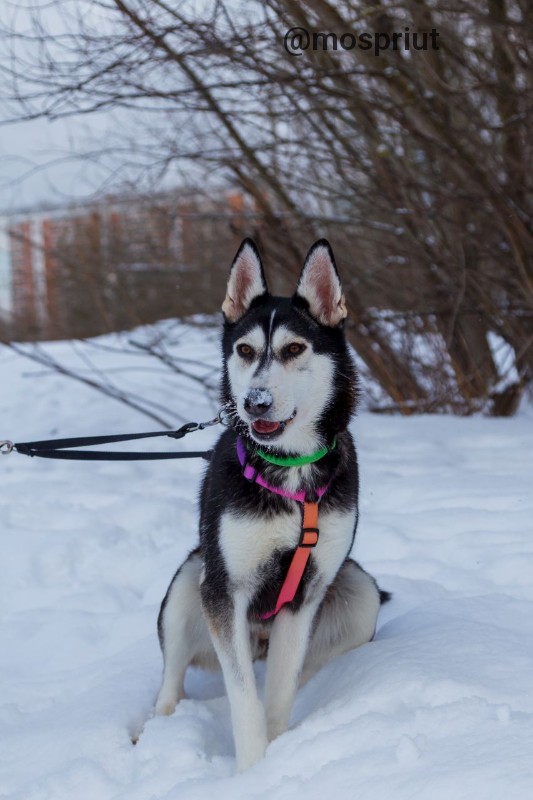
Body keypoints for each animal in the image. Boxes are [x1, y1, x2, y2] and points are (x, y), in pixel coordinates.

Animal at [154, 241, 386, 772]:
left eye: (294, 349)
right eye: (244, 351)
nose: (254, 402)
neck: (290, 468)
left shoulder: (307, 592)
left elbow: (279, 691)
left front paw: (279, 757)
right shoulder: (224, 590)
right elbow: (244, 700)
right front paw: (252, 770)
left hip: (359, 590)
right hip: (189, 580)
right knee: (171, 679)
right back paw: (153, 731)